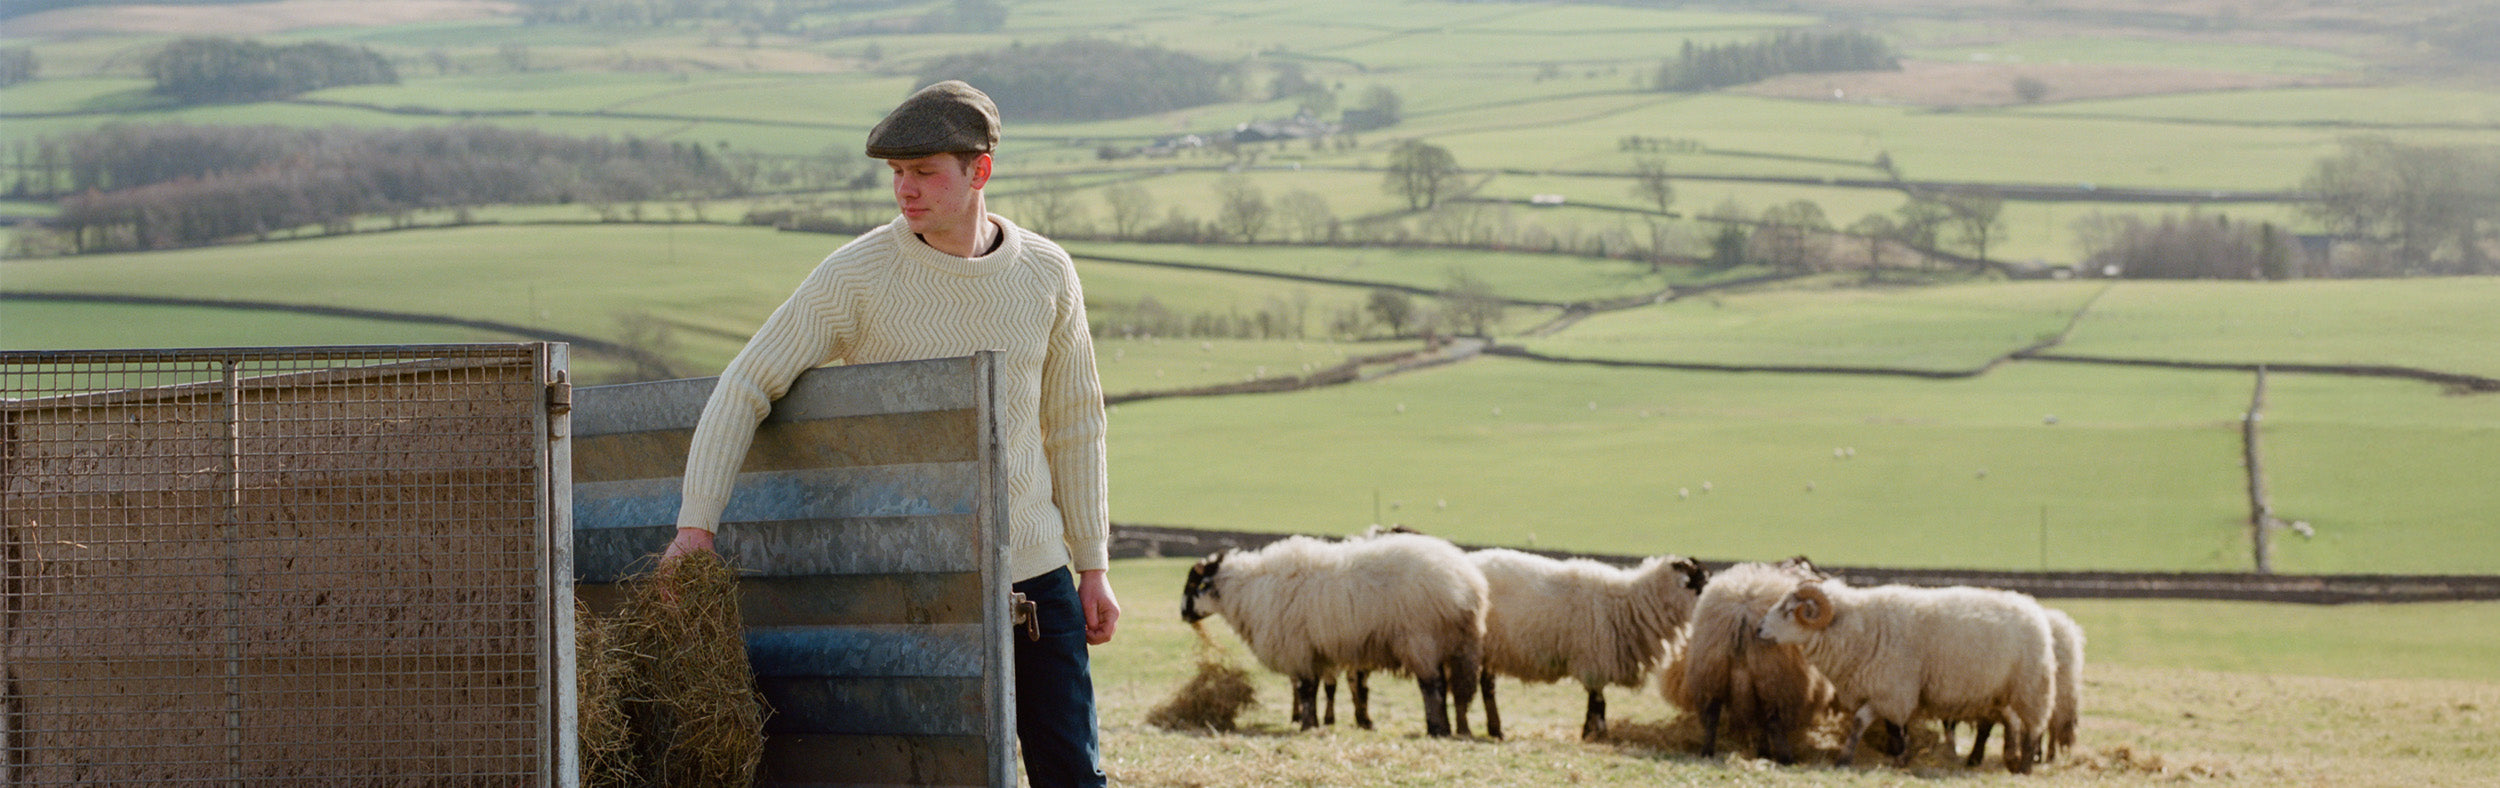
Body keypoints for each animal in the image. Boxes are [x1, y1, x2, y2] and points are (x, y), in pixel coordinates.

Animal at [1175, 535, 1480, 740]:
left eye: (1193, 585)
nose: (1183, 615)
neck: (1245, 590)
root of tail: (1468, 583)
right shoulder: (1312, 651)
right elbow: (1315, 687)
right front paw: (1315, 723)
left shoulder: (1297, 648)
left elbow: (1306, 689)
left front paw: (1308, 725)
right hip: (1441, 643)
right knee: (1441, 684)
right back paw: (1443, 727)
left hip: (1420, 639)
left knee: (1431, 685)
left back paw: (1435, 728)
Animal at [1460, 550, 1720, 740]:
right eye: (1702, 582)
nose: (1716, 601)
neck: (1632, 602)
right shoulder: (1594, 660)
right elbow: (1598, 701)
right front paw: (1593, 734)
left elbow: (1597, 700)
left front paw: (1592, 733)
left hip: (1492, 648)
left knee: (1487, 686)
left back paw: (1496, 730)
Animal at [1660, 555, 1840, 765]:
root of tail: (1741, 616)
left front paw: (1762, 750)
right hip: (1777, 681)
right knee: (1774, 722)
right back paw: (1786, 758)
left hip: (1712, 675)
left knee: (1712, 716)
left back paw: (1708, 752)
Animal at [1750, 577, 2060, 775]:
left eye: (1790, 611)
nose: (1758, 630)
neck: (1858, 628)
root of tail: (2033, 608)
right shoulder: (1886, 689)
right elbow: (1891, 727)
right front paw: (1899, 756)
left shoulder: (1893, 689)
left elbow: (1864, 722)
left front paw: (1849, 760)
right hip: (2001, 691)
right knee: (2012, 721)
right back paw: (2007, 758)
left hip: (2032, 685)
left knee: (2033, 725)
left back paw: (2025, 767)